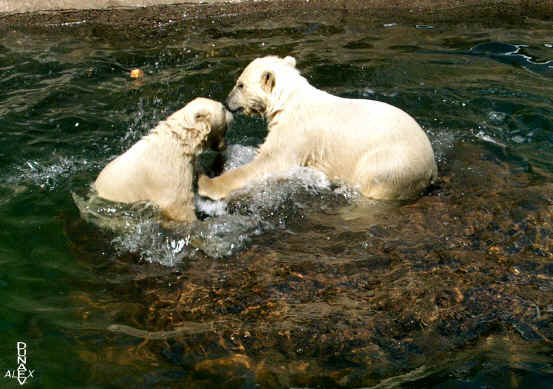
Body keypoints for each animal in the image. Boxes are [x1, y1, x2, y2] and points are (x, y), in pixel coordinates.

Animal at [198, 55, 436, 200]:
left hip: (392, 163)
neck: (290, 102)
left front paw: (206, 184)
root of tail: (432, 167)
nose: (226, 102)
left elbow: (270, 163)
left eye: (240, 84)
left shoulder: (296, 133)